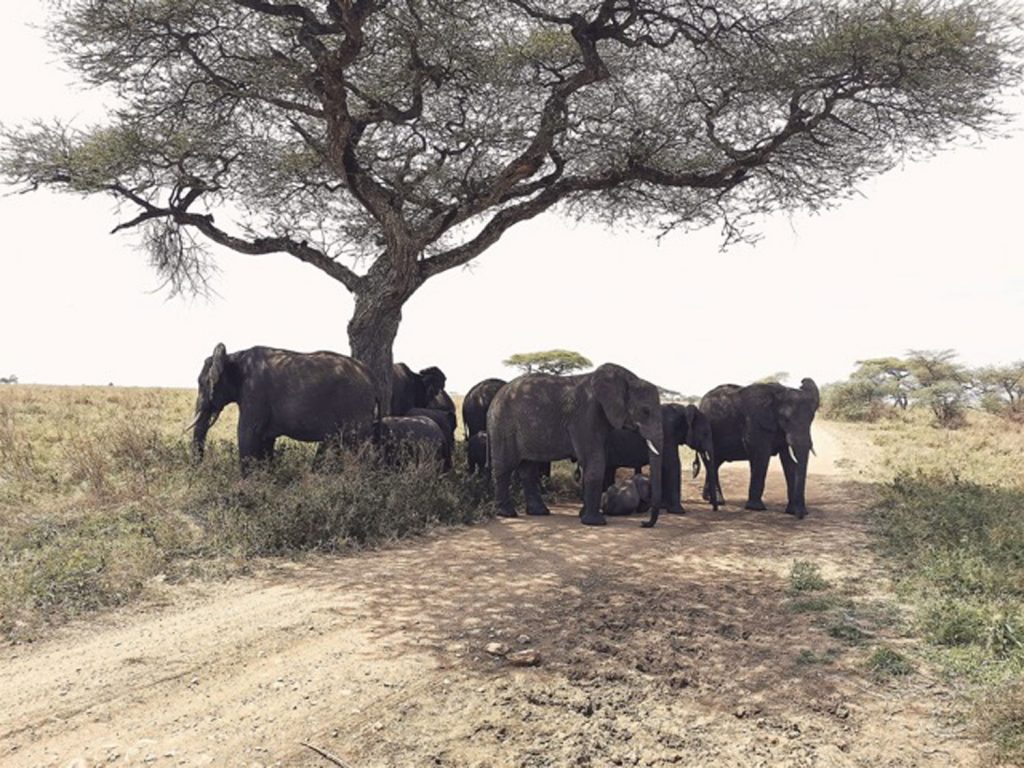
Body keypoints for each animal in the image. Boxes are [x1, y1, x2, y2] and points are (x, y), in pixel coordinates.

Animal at [188, 344, 376, 475]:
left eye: (202, 383)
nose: (198, 470)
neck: (234, 357)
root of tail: (370, 374)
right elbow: (265, 440)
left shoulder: (254, 392)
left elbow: (246, 433)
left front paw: (245, 486)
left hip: (356, 405)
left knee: (359, 448)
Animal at [487, 364, 663, 528]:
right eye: (645, 411)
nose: (643, 523)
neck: (626, 379)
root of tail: (495, 398)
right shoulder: (585, 416)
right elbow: (595, 461)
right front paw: (595, 522)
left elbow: (590, 463)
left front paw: (584, 516)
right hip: (502, 424)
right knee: (504, 467)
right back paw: (507, 513)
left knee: (528, 469)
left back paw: (539, 512)